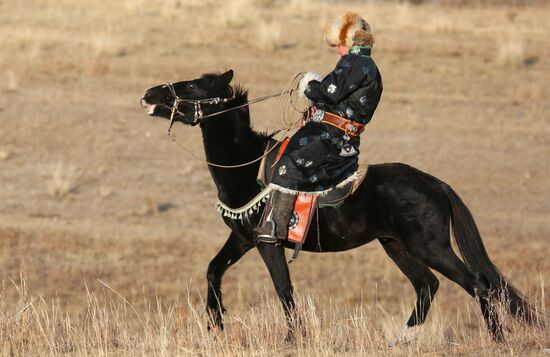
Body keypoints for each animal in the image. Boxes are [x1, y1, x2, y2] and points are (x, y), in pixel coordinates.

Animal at [140, 70, 540, 342]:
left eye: (193, 86)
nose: (149, 93)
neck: (246, 167)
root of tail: (433, 183)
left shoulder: (267, 243)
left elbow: (283, 290)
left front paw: (292, 338)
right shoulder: (242, 239)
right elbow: (213, 270)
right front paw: (216, 322)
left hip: (430, 246)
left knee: (477, 284)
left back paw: (497, 339)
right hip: (396, 245)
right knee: (427, 285)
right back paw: (401, 339)